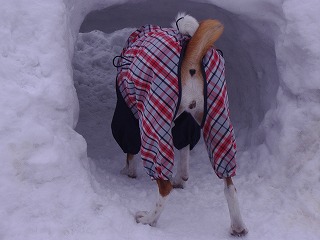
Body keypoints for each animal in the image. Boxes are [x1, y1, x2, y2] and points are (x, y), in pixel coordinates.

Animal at [111, 13, 249, 236]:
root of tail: (191, 57)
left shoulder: (128, 114)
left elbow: (130, 152)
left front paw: (128, 172)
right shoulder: (185, 122)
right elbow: (184, 158)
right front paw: (181, 179)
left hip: (152, 122)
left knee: (164, 187)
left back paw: (148, 219)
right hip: (218, 120)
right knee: (229, 183)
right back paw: (238, 226)